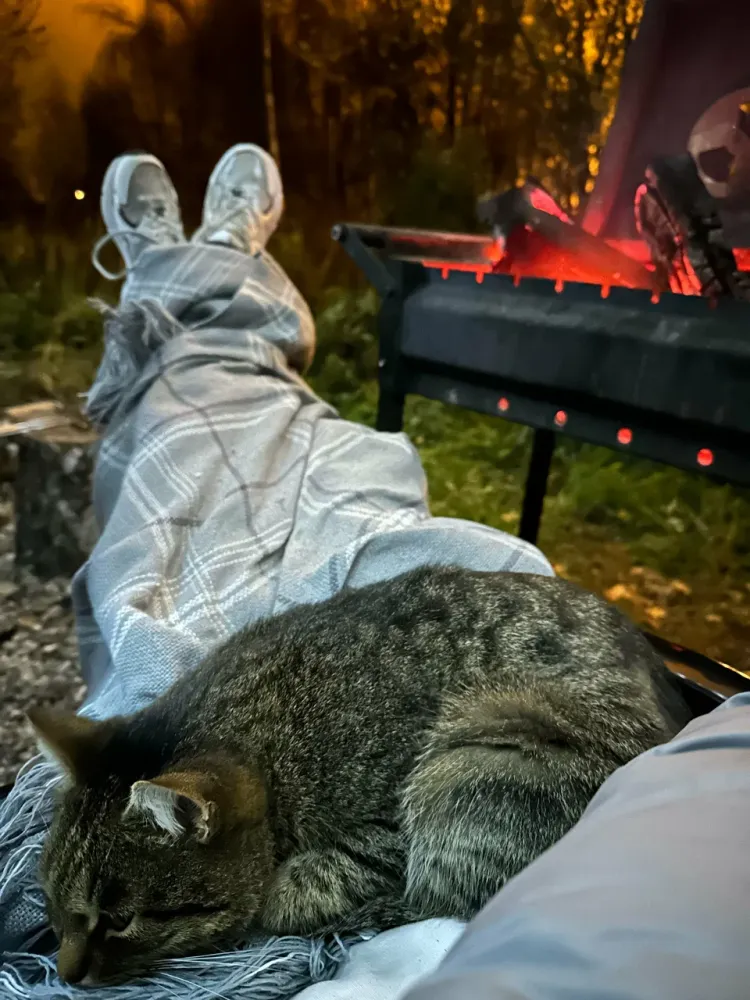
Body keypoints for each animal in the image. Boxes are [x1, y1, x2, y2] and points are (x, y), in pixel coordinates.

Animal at [29, 565, 692, 985]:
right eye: (51, 900)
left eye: (118, 921)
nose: (63, 974)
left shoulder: (382, 832)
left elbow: (292, 893)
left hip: (482, 749)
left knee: (439, 899)